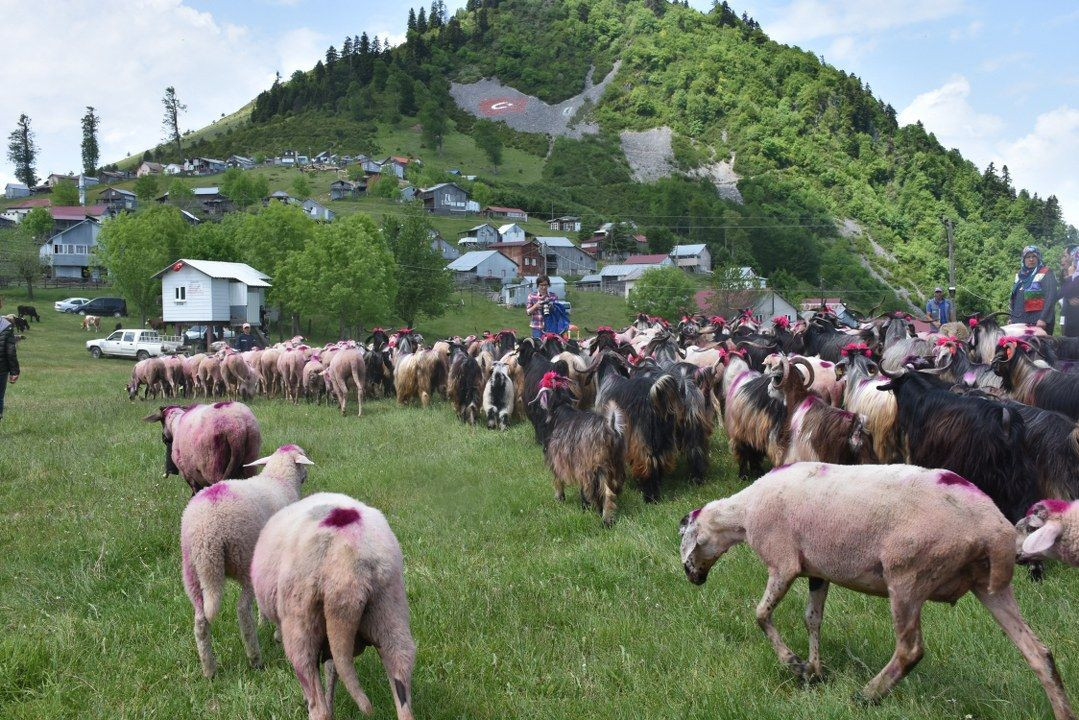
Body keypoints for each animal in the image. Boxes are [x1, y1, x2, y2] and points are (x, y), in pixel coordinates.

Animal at [179, 444, 315, 682]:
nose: (306, 475)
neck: (279, 479)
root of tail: (207, 535)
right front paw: (277, 633)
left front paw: (265, 622)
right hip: (244, 557)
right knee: (242, 610)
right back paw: (255, 658)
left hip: (192, 571)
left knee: (200, 621)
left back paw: (209, 669)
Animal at [252, 492, 416, 720]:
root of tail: (350, 567)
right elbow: (332, 668)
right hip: (390, 608)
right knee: (401, 668)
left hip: (301, 622)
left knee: (316, 702)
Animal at [677, 464, 1074, 716]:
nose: (692, 578)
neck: (742, 515)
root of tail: (993, 526)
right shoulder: (817, 571)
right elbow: (812, 619)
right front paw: (813, 671)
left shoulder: (783, 563)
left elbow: (761, 614)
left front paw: (792, 663)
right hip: (990, 584)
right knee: (1039, 654)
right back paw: (1063, 710)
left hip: (908, 575)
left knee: (910, 650)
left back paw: (867, 695)